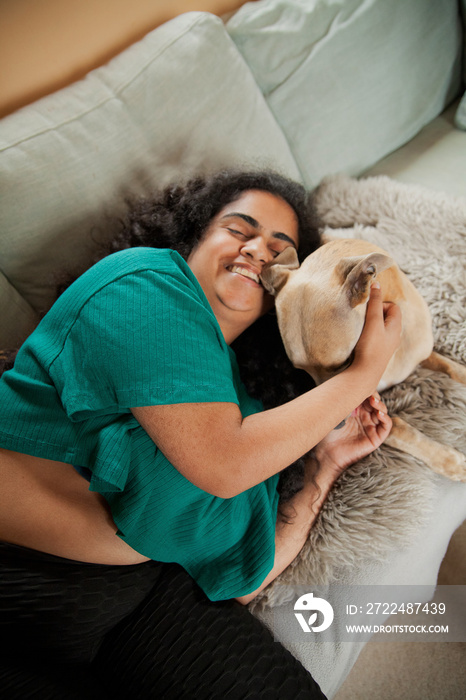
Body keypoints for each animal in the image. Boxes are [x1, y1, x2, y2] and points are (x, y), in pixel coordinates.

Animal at [260, 238, 466, 484]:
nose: (336, 426)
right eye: (302, 371)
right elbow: (397, 427)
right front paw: (450, 461)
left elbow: (452, 368)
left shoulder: (421, 355)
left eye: (344, 363)